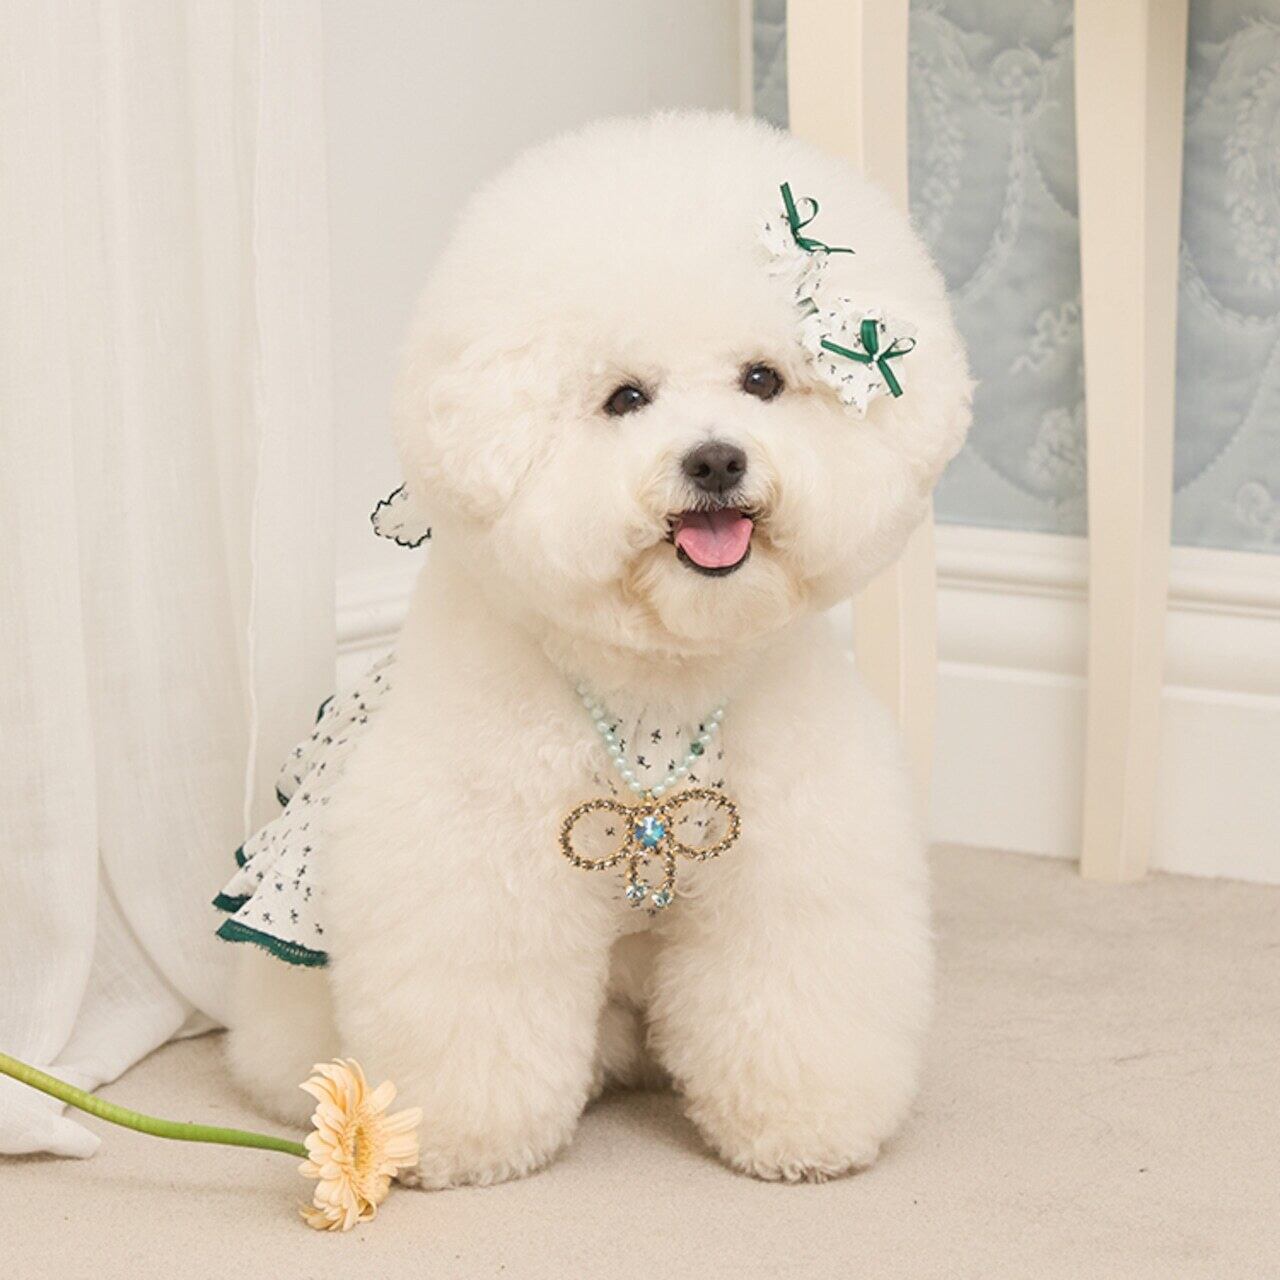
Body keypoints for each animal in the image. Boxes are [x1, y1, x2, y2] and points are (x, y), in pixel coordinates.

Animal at [224, 110, 972, 1186]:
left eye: (763, 379)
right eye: (625, 397)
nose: (715, 459)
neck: (655, 683)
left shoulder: (792, 865)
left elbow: (791, 993)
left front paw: (801, 1129)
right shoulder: (471, 874)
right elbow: (475, 1004)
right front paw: (465, 1142)